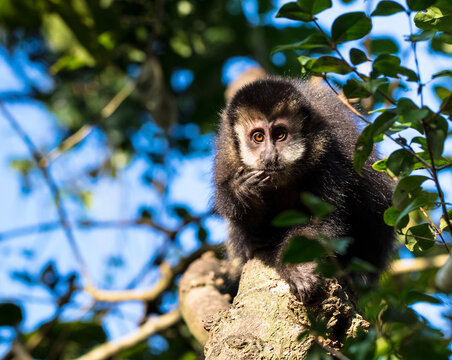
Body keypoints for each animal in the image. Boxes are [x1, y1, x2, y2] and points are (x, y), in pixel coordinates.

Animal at [214, 77, 394, 302]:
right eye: (258, 137)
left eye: (280, 135)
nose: (270, 157)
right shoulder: (227, 157)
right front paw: (244, 193)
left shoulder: (325, 158)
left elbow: (320, 220)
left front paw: (296, 268)